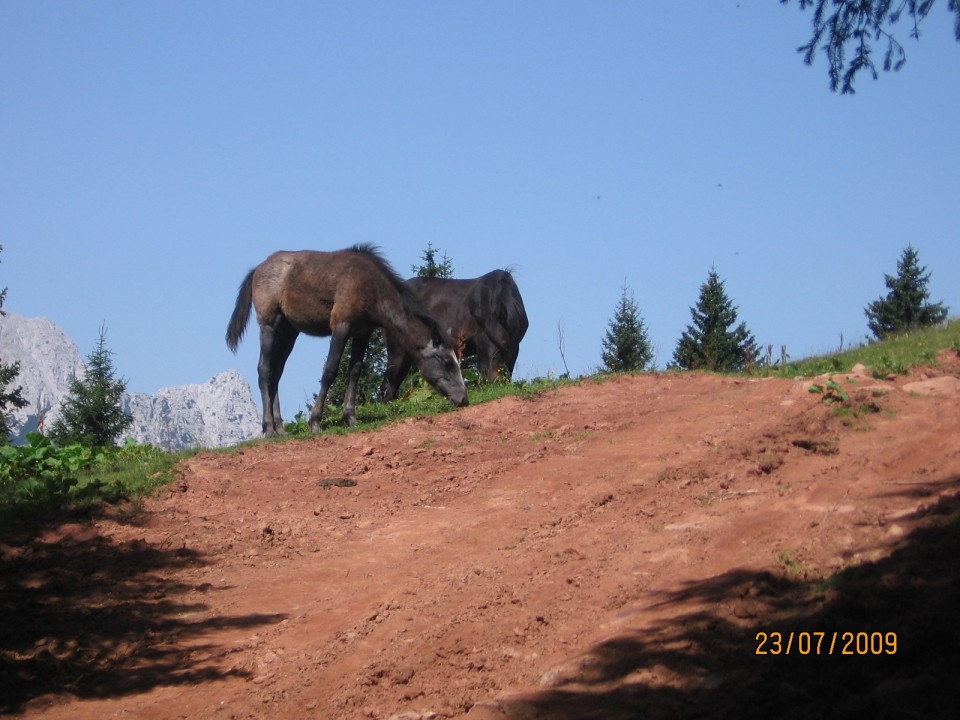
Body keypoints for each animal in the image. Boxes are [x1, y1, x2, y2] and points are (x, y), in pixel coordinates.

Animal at [225, 243, 464, 434]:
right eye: (447, 362)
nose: (464, 398)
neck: (370, 287)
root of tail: (258, 269)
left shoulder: (362, 333)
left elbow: (355, 370)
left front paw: (350, 417)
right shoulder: (341, 326)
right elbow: (330, 371)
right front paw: (315, 421)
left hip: (288, 331)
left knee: (276, 373)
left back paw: (280, 428)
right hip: (269, 325)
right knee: (264, 370)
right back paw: (268, 428)